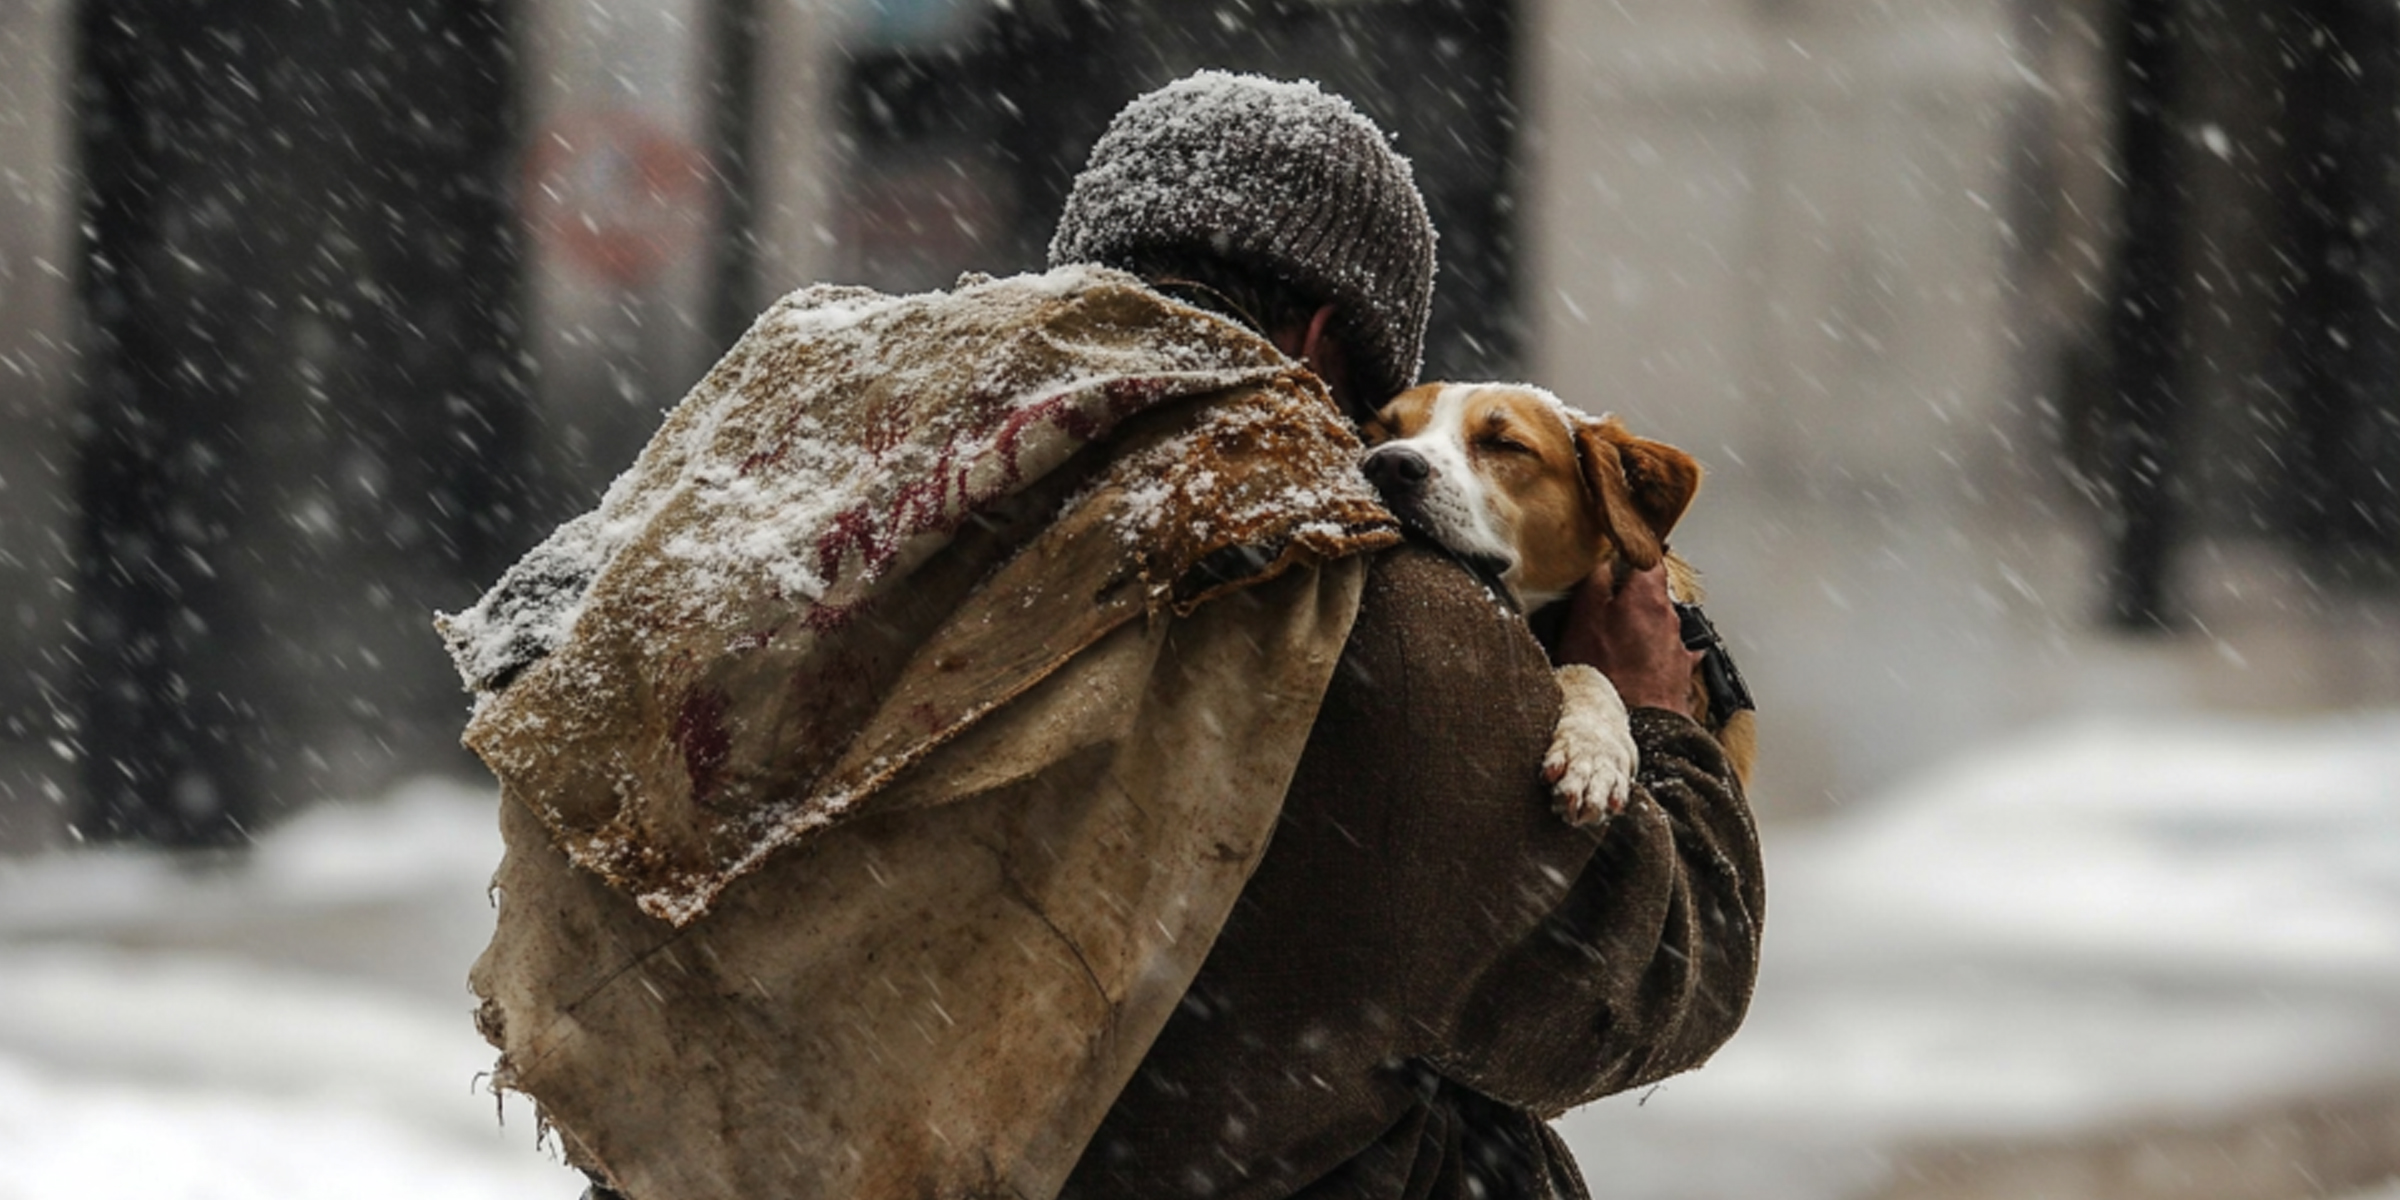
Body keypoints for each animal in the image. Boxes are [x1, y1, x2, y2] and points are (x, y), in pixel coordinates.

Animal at [1363, 381, 1756, 825]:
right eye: (1376, 435)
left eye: (1504, 444)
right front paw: (1593, 748)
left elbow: (1585, 668)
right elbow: (1584, 667)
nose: (1388, 464)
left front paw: (1592, 751)